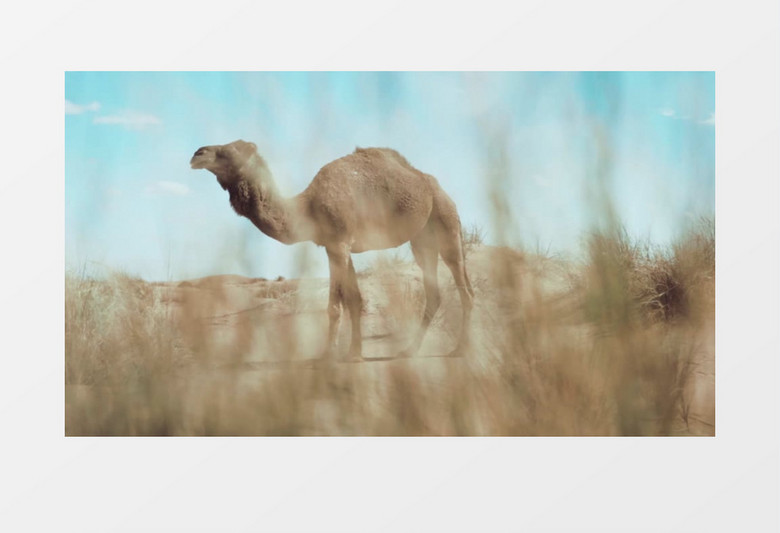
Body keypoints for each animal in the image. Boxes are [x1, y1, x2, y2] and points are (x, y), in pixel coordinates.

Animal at [193, 139, 476, 360]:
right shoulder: (337, 245)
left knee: (464, 286)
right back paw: (409, 350)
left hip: (446, 222)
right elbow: (354, 300)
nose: (197, 154)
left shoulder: (339, 245)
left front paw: (328, 355)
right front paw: (354, 353)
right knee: (434, 291)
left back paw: (461, 349)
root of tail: (434, 185)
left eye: (231, 151)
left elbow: (334, 306)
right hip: (422, 241)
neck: (307, 208)